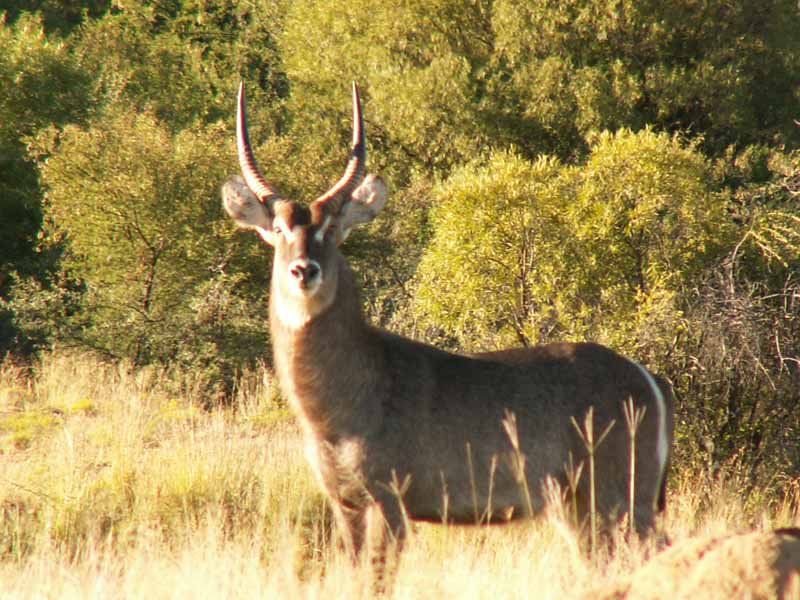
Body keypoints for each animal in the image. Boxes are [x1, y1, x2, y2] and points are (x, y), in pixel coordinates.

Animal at [220, 82, 676, 576]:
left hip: (621, 496)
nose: (304, 270)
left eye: (333, 228)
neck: (342, 401)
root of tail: (649, 378)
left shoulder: (389, 498)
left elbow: (377, 578)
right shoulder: (345, 502)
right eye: (278, 229)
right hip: (579, 507)